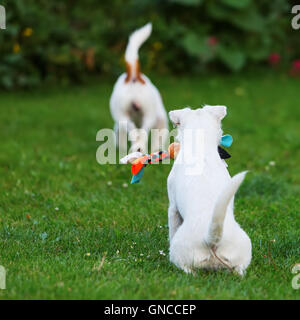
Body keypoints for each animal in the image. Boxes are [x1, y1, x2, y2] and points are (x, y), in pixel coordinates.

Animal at [109, 23, 169, 154]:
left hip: (123, 114)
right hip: (149, 114)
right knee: (141, 132)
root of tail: (133, 75)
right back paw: (139, 147)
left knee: (135, 131)